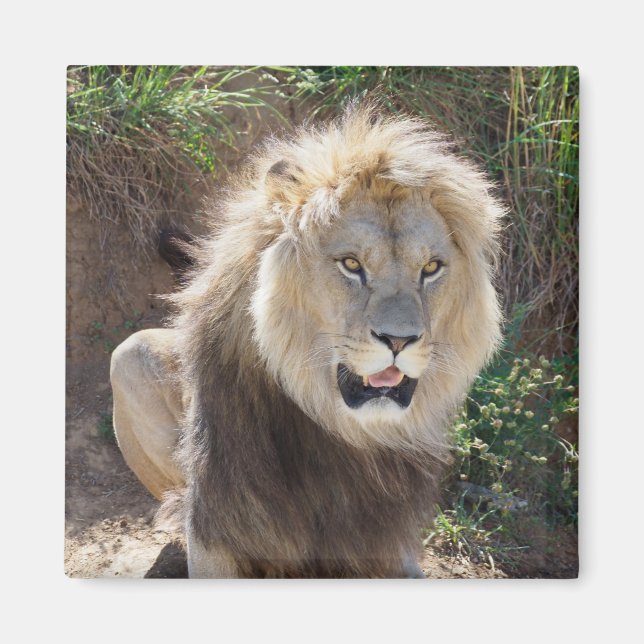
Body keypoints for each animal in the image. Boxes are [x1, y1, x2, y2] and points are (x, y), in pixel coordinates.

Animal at [110, 103, 505, 578]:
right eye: (351, 264)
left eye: (430, 268)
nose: (399, 340)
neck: (346, 439)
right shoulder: (215, 529)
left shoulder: (388, 546)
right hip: (127, 358)